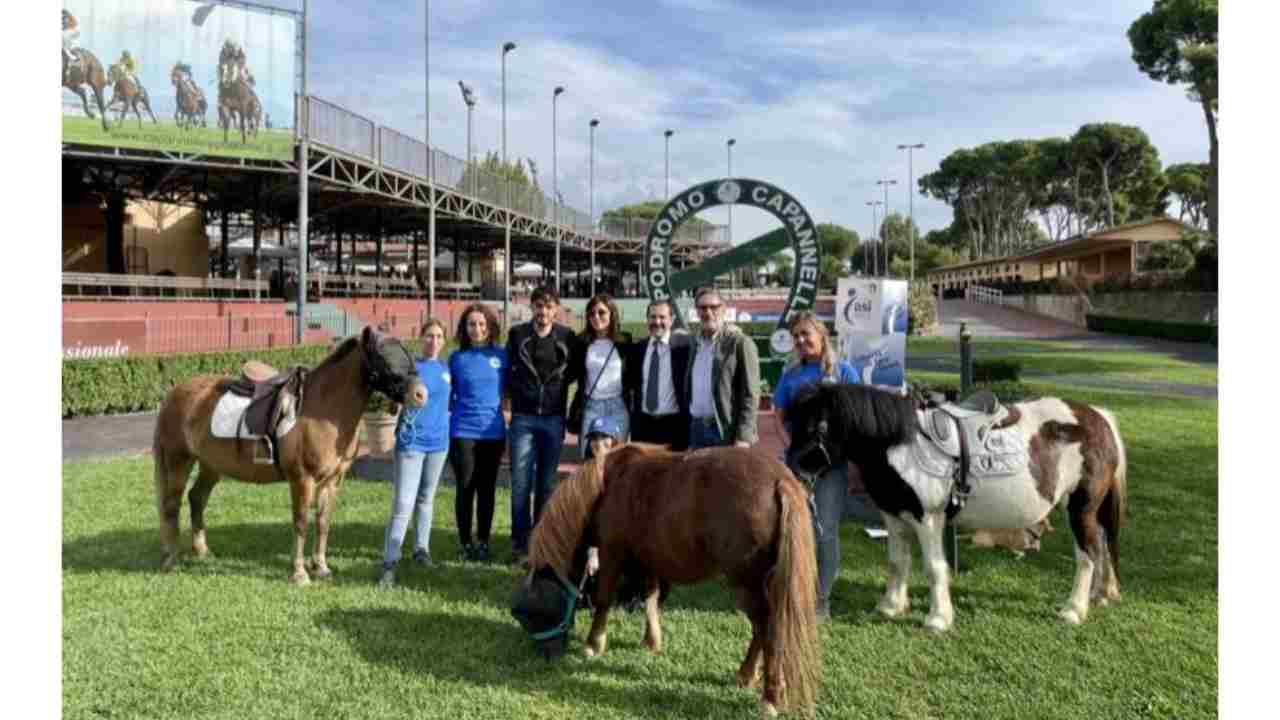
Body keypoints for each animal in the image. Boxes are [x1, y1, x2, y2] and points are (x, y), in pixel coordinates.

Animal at [151, 326, 424, 584]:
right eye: (382, 358)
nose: (421, 394)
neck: (325, 409)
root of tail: (173, 395)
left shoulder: (333, 481)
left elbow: (323, 522)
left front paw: (321, 568)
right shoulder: (302, 480)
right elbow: (301, 523)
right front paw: (300, 574)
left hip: (211, 465)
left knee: (196, 498)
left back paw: (202, 551)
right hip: (178, 460)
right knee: (171, 505)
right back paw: (171, 559)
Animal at [509, 440, 819, 712]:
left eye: (533, 613)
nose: (546, 656)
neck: (606, 486)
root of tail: (780, 481)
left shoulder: (612, 553)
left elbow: (604, 598)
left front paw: (593, 644)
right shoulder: (647, 559)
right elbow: (650, 598)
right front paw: (651, 641)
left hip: (747, 582)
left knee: (767, 629)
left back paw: (768, 696)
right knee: (761, 630)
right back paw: (746, 676)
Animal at [783, 384, 1126, 630]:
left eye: (818, 427)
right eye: (792, 425)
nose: (792, 470)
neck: (900, 444)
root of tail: (1099, 418)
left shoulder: (927, 519)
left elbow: (934, 568)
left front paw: (938, 619)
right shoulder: (895, 518)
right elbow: (897, 562)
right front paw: (891, 606)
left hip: (1080, 509)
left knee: (1087, 555)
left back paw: (1073, 610)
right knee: (1101, 547)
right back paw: (1098, 596)